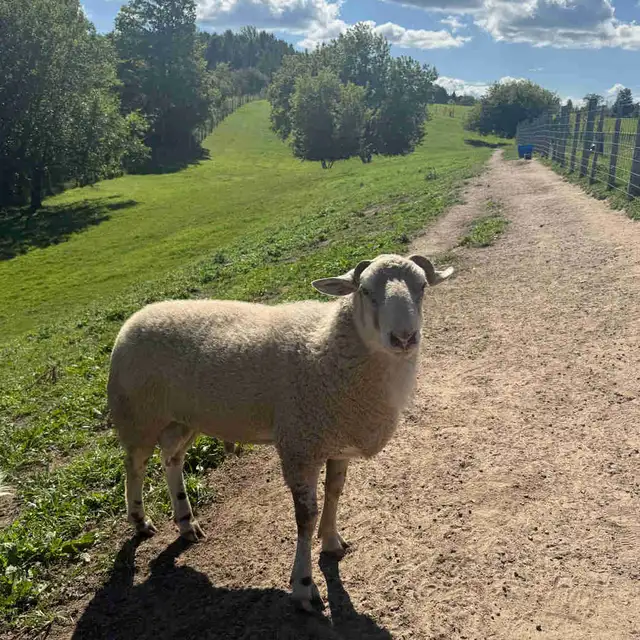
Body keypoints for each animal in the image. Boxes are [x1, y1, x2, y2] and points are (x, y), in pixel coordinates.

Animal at [107, 253, 453, 612]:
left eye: (422, 287)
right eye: (366, 290)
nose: (404, 338)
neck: (328, 346)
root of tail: (135, 318)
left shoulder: (334, 440)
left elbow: (335, 492)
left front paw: (332, 541)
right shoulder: (299, 446)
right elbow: (306, 517)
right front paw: (304, 586)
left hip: (184, 420)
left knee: (171, 460)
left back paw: (187, 522)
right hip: (138, 416)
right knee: (135, 467)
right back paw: (140, 521)